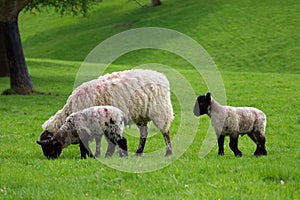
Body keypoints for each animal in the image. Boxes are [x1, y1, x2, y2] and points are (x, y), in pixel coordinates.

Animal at [41, 69, 175, 156]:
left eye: (46, 145)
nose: (48, 158)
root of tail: (161, 76)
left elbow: (96, 139)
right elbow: (99, 139)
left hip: (160, 110)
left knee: (165, 132)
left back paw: (168, 152)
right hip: (140, 115)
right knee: (144, 133)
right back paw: (138, 152)